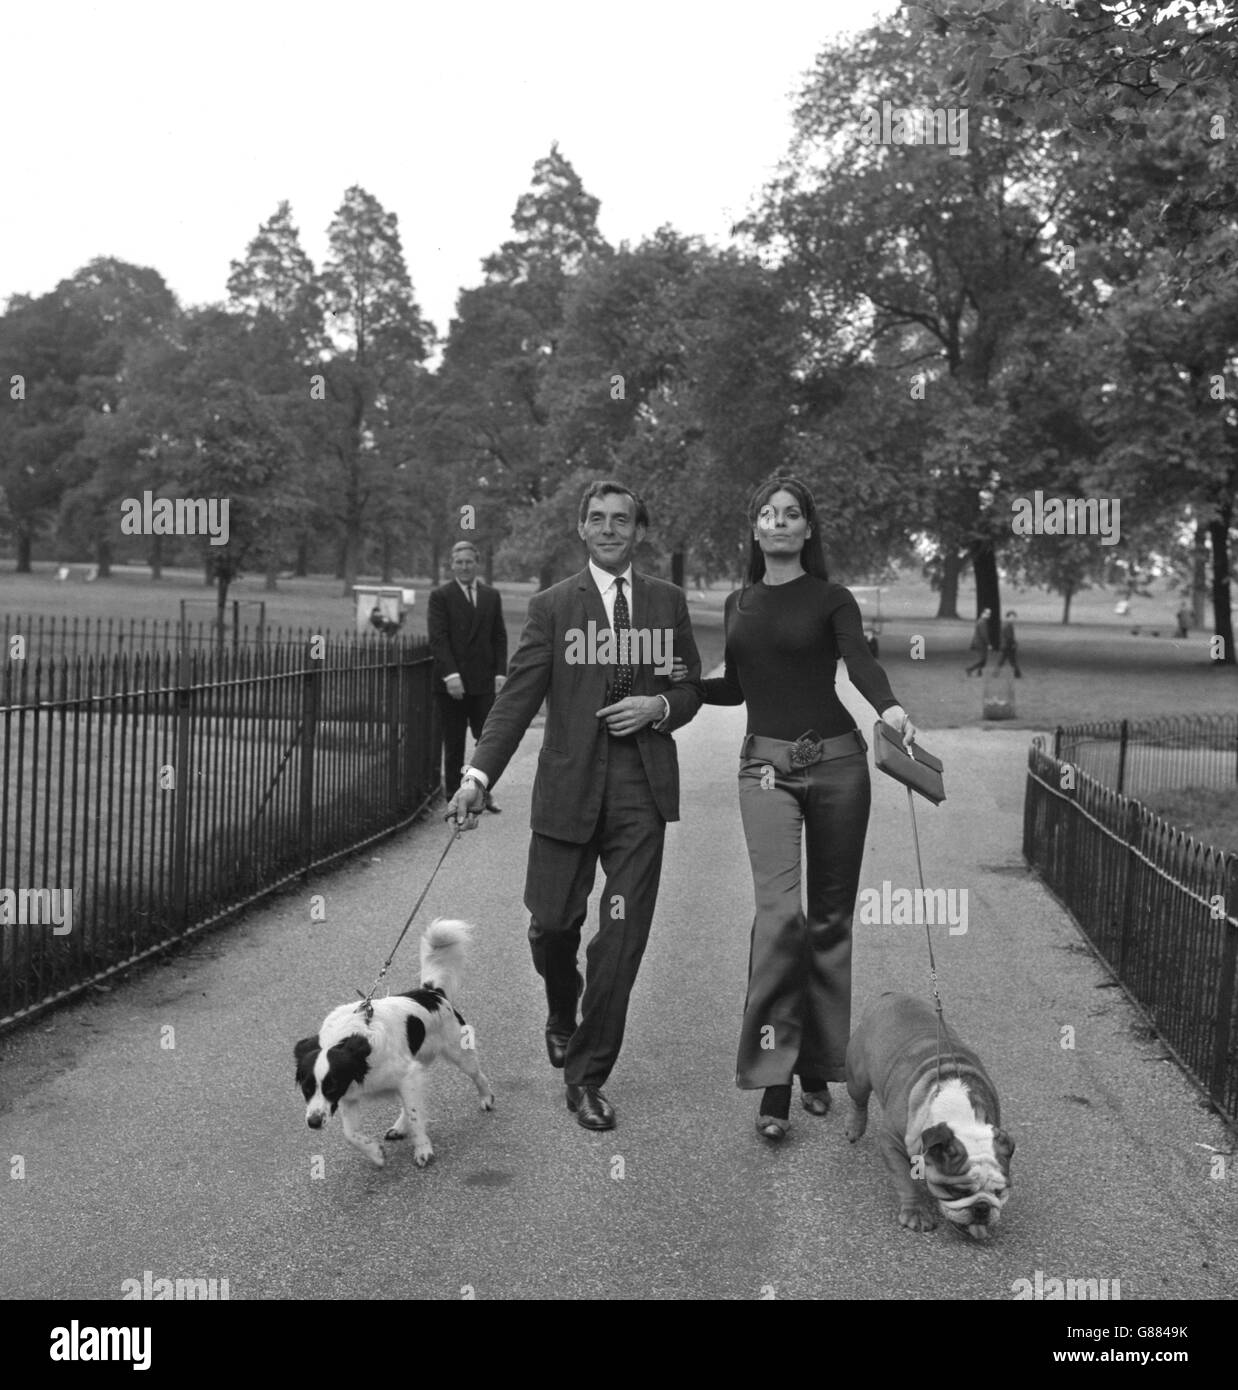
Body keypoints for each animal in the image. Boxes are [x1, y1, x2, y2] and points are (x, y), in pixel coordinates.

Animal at [295, 917, 494, 1167]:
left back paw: (486, 1098)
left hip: (458, 1051)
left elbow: (416, 1115)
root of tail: (432, 993)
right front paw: (375, 1154)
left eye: (331, 1086)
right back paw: (399, 1127)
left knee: (477, 1075)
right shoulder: (351, 1094)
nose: (313, 1123)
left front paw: (423, 1150)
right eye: (307, 1088)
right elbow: (350, 1134)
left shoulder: (404, 1075)